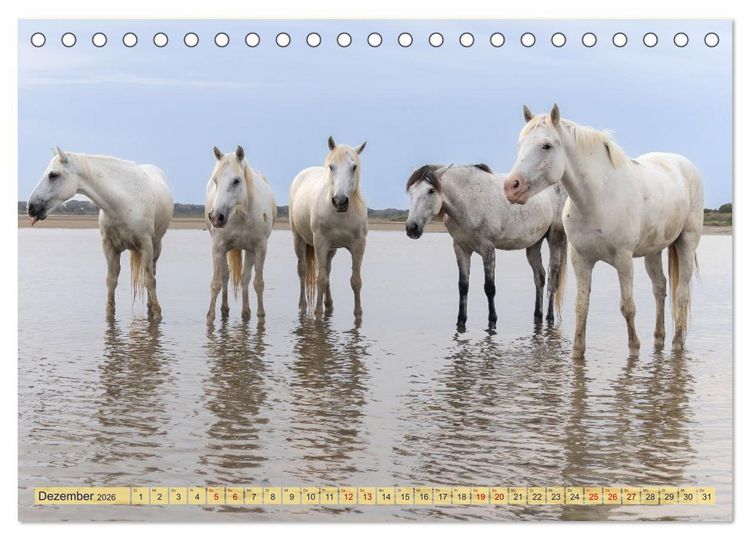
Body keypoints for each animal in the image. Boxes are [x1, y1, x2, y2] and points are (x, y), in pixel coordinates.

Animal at [27, 148, 173, 320]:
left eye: (53, 175)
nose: (31, 207)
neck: (123, 201)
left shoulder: (146, 245)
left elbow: (149, 280)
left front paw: (157, 314)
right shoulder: (109, 246)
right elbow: (111, 280)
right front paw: (110, 315)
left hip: (156, 246)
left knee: (152, 273)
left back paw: (151, 306)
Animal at [205, 145, 277, 322]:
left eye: (236, 180)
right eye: (215, 180)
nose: (216, 217)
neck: (240, 214)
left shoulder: (260, 248)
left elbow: (258, 283)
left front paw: (260, 315)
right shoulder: (218, 248)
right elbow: (216, 282)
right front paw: (210, 317)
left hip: (250, 251)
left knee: (245, 278)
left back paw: (246, 311)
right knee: (226, 276)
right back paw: (225, 308)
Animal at [289, 136, 367, 319]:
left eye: (354, 166)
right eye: (332, 166)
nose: (340, 201)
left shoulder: (358, 245)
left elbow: (356, 280)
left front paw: (358, 314)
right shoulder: (320, 242)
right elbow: (321, 279)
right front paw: (318, 314)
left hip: (331, 249)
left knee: (328, 270)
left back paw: (329, 305)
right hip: (299, 239)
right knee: (303, 271)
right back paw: (303, 306)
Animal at [405, 163, 568, 331]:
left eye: (431, 190)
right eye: (411, 191)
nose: (412, 228)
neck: (469, 198)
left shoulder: (488, 249)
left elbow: (489, 288)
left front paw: (492, 320)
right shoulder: (461, 249)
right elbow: (463, 286)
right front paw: (461, 321)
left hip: (555, 239)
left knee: (552, 279)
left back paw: (550, 317)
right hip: (534, 244)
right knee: (539, 277)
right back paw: (538, 316)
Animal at [504, 104, 703, 358]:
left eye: (546, 145)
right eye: (520, 145)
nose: (511, 187)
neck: (597, 198)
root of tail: (685, 165)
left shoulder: (623, 259)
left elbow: (628, 306)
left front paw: (634, 349)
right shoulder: (581, 259)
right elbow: (581, 306)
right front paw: (577, 352)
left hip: (687, 241)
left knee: (682, 293)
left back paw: (677, 343)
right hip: (653, 250)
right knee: (660, 287)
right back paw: (659, 339)